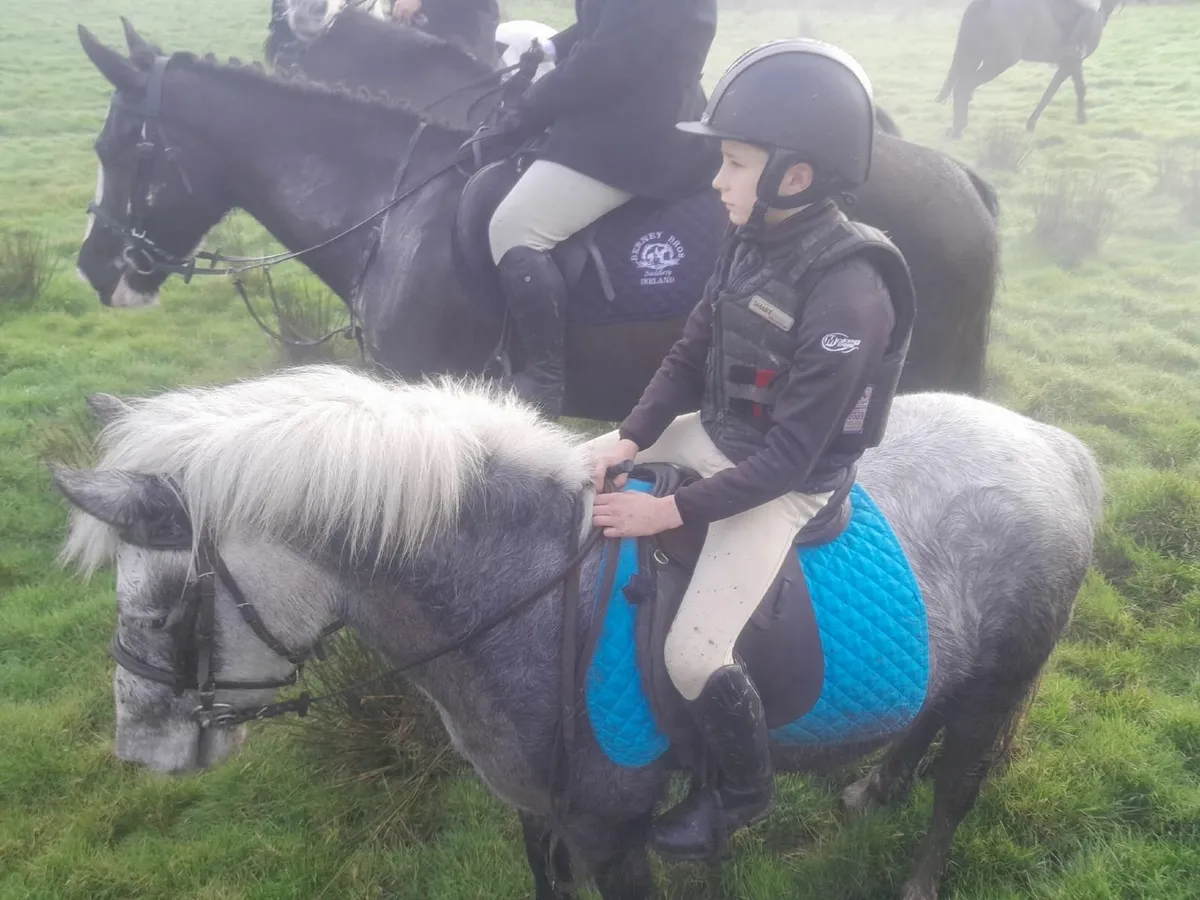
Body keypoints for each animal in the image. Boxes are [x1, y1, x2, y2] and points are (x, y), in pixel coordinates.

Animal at [51, 363, 1104, 900]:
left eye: (164, 607)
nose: (140, 752)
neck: (522, 594)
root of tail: (1054, 447)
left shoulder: (611, 831)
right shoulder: (538, 814)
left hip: (1003, 682)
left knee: (958, 785)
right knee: (922, 716)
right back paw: (874, 788)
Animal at [937, 0, 1122, 139]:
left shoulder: (1073, 62)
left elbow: (1076, 88)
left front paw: (1081, 117)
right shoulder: (1072, 61)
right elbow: (1054, 91)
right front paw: (1032, 122)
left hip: (975, 56)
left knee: (962, 85)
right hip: (998, 62)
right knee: (963, 86)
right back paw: (958, 129)